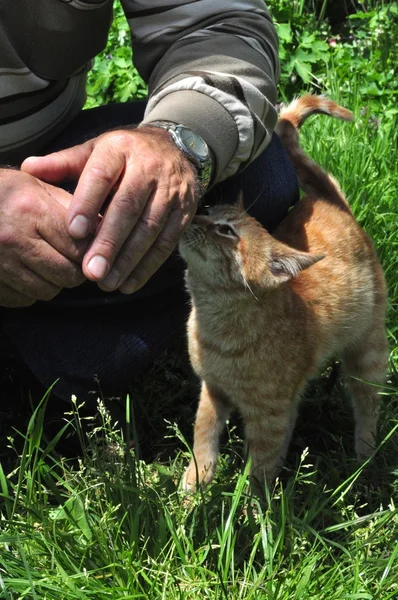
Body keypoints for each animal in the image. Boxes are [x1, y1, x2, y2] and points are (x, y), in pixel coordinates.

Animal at [180, 96, 388, 492]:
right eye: (210, 210)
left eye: (227, 230)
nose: (194, 215)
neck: (215, 326)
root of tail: (330, 202)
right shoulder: (212, 389)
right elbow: (203, 435)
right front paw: (195, 483)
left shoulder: (268, 415)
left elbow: (259, 467)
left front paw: (252, 504)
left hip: (368, 357)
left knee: (368, 410)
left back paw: (365, 461)